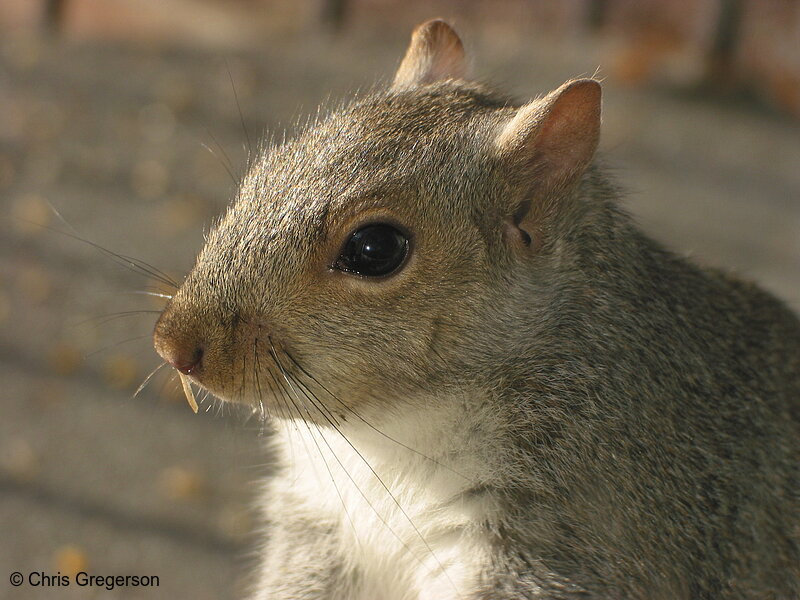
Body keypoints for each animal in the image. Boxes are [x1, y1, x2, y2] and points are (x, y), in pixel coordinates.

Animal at [152, 18, 800, 600]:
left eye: (375, 248)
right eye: (265, 170)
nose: (175, 345)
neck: (386, 437)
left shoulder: (567, 535)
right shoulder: (317, 525)